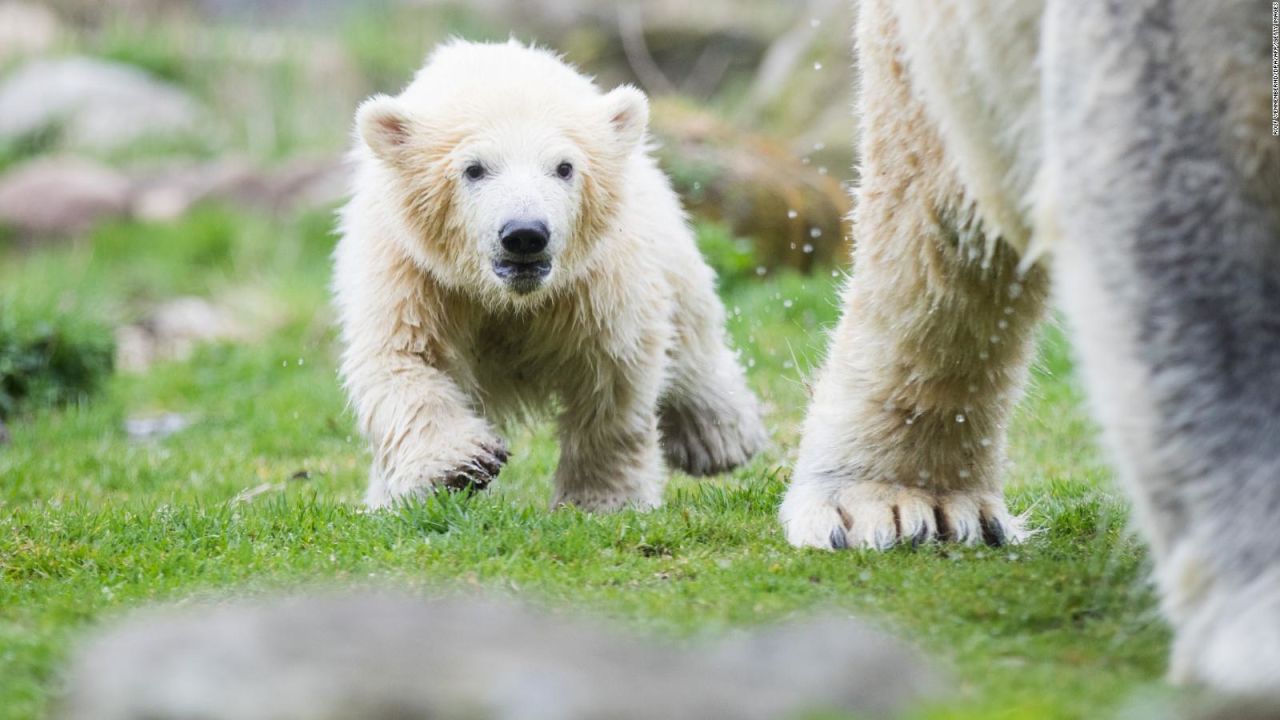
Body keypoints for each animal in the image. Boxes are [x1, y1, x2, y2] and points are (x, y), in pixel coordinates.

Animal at [335, 40, 762, 509]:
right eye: (474, 168)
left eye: (564, 167)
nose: (524, 235)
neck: (509, 298)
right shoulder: (414, 274)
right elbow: (405, 359)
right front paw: (463, 465)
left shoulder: (596, 285)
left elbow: (612, 378)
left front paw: (604, 500)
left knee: (690, 334)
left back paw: (719, 438)